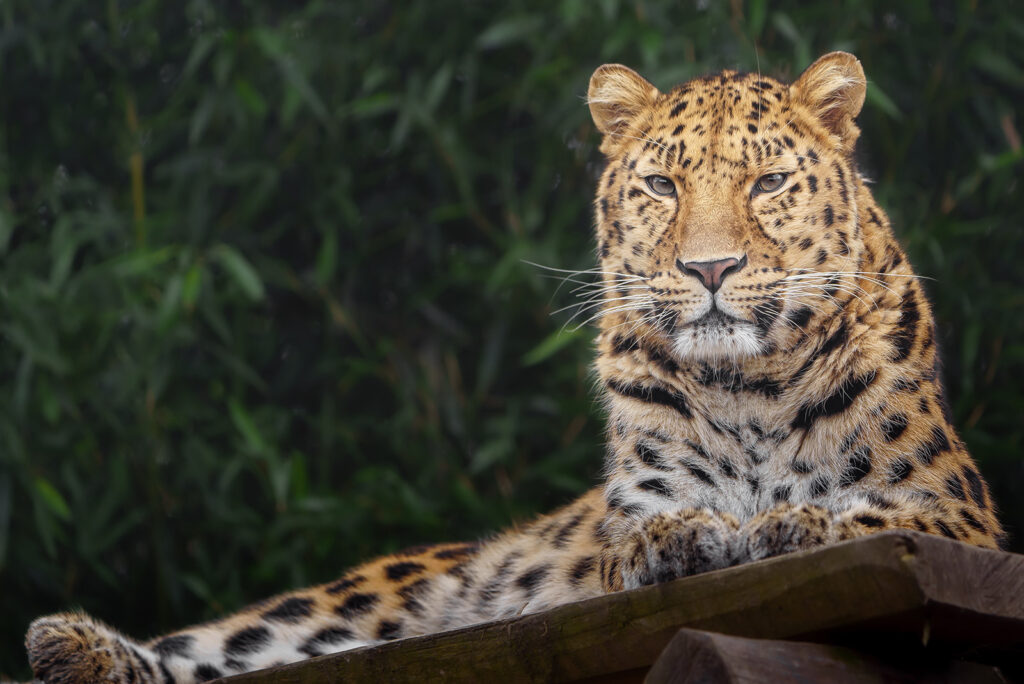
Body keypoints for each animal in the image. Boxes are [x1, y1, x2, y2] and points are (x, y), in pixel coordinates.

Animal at [24, 53, 1007, 684]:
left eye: (767, 184)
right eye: (663, 187)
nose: (710, 270)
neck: (747, 390)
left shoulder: (961, 518)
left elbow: (870, 510)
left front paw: (792, 523)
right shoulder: (629, 517)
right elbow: (641, 534)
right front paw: (686, 537)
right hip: (362, 599)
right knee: (228, 647)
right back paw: (68, 643)